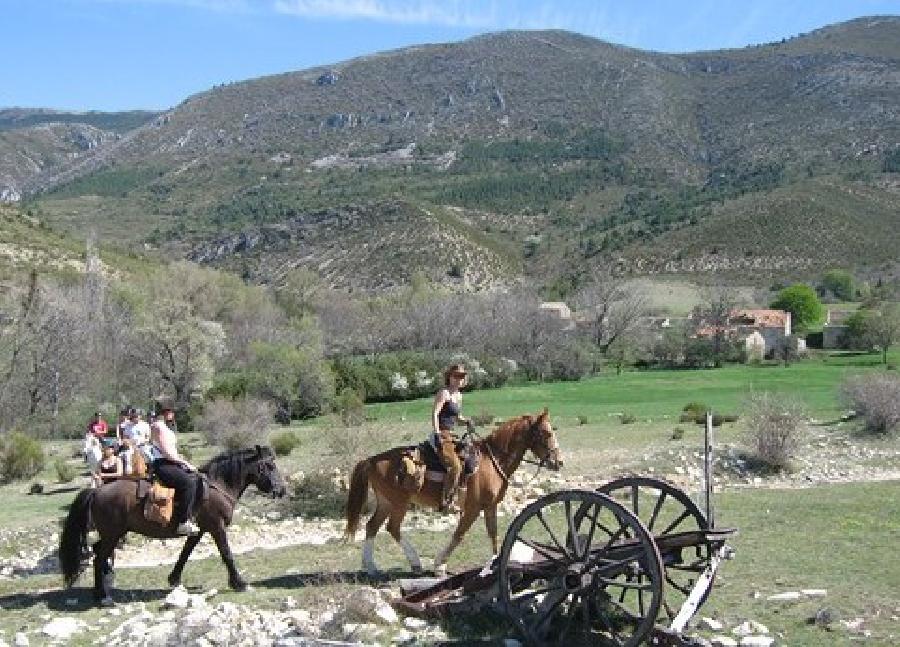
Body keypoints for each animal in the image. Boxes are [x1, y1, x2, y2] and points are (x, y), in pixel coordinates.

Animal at [59, 446, 284, 608]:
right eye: (269, 466)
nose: (281, 490)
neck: (218, 486)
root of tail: (96, 491)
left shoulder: (199, 529)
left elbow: (185, 552)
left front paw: (174, 579)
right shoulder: (216, 527)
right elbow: (226, 554)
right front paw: (239, 583)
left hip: (113, 534)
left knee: (99, 553)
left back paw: (103, 587)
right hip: (113, 534)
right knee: (99, 558)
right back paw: (103, 598)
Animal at [346, 410, 564, 576]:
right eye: (546, 433)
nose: (559, 462)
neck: (492, 461)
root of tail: (372, 460)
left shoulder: (490, 506)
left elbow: (493, 533)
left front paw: (493, 564)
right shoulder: (473, 508)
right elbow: (459, 534)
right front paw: (440, 565)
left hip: (386, 502)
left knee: (372, 526)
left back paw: (371, 567)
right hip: (399, 503)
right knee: (392, 527)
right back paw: (414, 562)